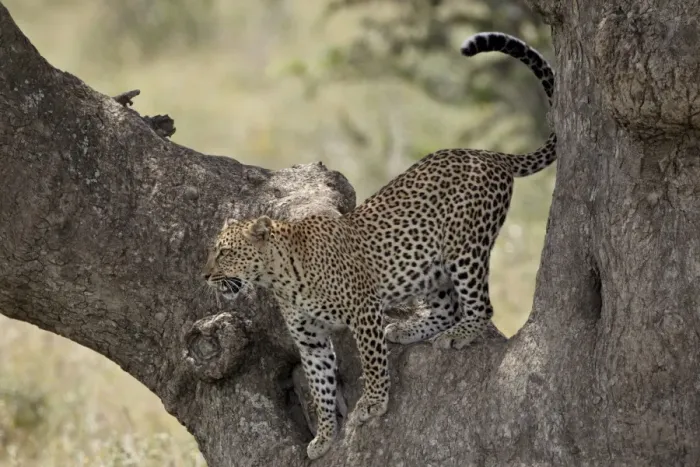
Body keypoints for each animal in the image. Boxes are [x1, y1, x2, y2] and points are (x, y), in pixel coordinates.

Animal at [203, 32, 555, 460]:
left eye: (225, 251)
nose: (205, 275)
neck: (281, 278)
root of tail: (488, 155)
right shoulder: (310, 338)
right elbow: (320, 386)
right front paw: (324, 436)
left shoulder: (363, 309)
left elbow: (371, 361)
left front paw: (372, 404)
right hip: (430, 267)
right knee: (447, 306)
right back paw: (409, 329)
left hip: (465, 247)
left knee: (479, 305)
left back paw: (462, 332)